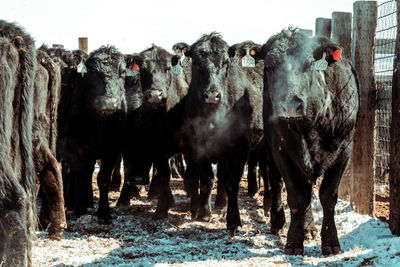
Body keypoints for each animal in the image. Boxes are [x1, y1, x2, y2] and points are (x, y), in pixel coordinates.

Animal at [182, 34, 264, 234]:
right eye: (196, 64)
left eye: (225, 63)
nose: (212, 95)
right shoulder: (197, 147)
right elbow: (207, 179)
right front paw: (204, 213)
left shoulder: (239, 149)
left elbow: (231, 182)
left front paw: (233, 220)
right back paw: (220, 202)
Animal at [262, 28, 360, 255]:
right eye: (270, 66)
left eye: (308, 64)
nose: (290, 105)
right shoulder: (281, 148)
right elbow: (297, 196)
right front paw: (293, 241)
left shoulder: (345, 149)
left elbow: (328, 195)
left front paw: (331, 241)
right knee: (276, 181)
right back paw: (279, 220)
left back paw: (309, 227)